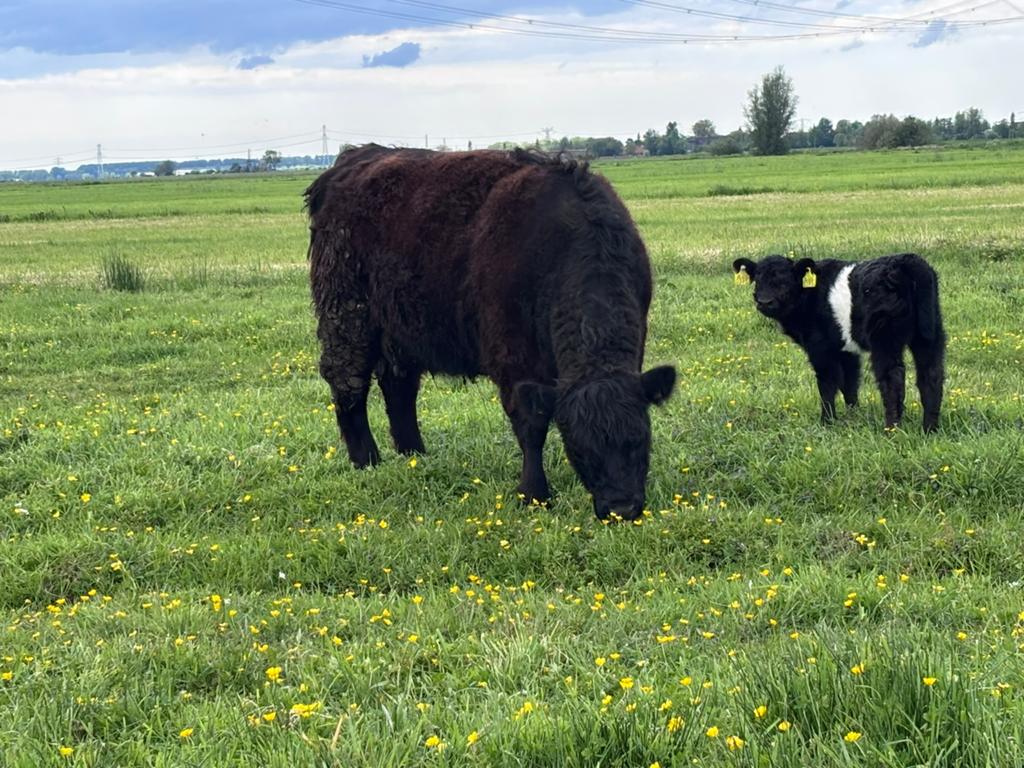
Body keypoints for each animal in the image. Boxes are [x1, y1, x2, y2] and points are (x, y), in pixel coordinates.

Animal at [305, 145, 676, 520]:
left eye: (641, 439)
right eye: (578, 448)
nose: (622, 508)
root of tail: (357, 155)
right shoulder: (513, 358)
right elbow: (531, 425)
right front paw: (534, 493)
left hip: (399, 326)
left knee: (399, 387)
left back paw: (415, 455)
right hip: (347, 311)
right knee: (348, 383)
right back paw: (365, 460)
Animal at [732, 253, 945, 432]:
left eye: (784, 282)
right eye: (758, 280)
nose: (764, 302)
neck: (808, 296)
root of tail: (906, 261)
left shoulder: (820, 348)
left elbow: (827, 384)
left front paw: (827, 421)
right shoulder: (846, 349)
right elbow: (849, 383)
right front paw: (854, 415)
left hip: (886, 339)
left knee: (893, 379)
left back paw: (891, 429)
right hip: (930, 334)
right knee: (931, 375)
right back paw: (929, 429)